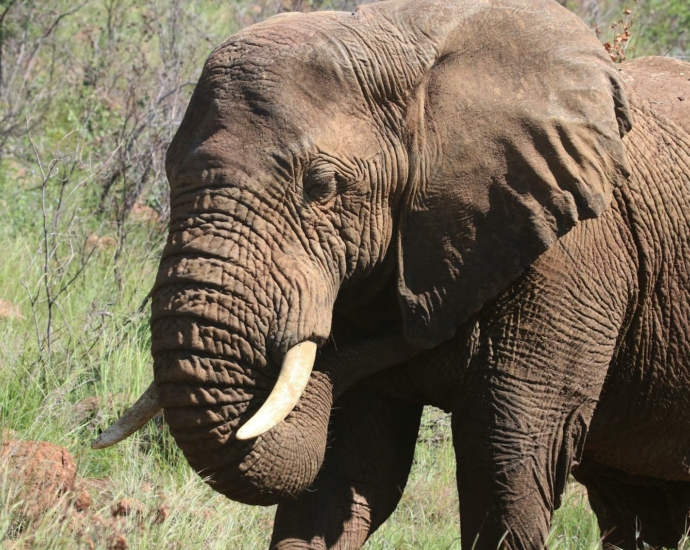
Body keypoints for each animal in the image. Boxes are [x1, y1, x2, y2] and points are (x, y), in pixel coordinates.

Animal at [91, 0, 688, 548]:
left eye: (322, 187)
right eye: (168, 174)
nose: (424, 330)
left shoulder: (571, 259)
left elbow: (508, 455)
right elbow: (352, 464)